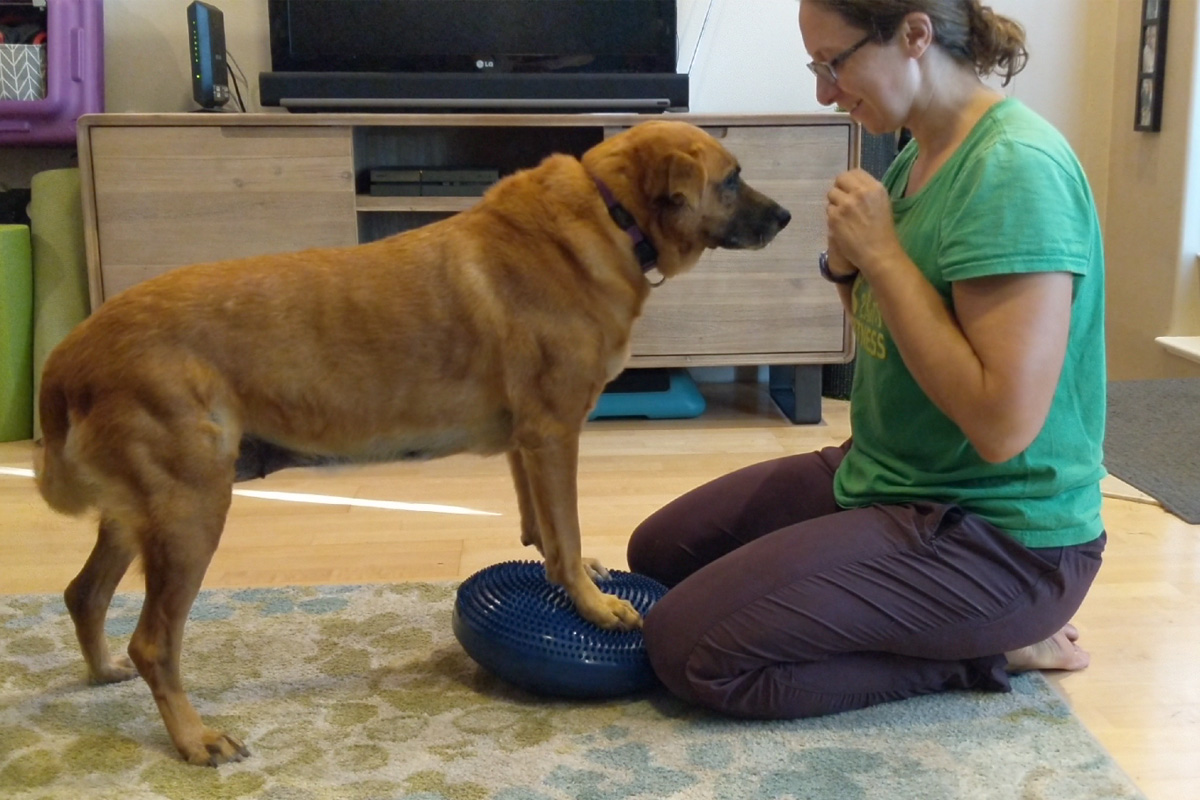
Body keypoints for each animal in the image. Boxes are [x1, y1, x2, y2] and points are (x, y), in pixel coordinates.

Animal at [32, 118, 792, 762]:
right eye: (731, 179)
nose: (787, 218)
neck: (611, 212)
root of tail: (70, 354)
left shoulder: (527, 441)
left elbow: (544, 530)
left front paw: (574, 574)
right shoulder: (554, 432)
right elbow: (567, 531)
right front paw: (595, 606)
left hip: (141, 512)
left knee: (83, 595)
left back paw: (101, 670)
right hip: (191, 508)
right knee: (153, 642)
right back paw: (193, 739)